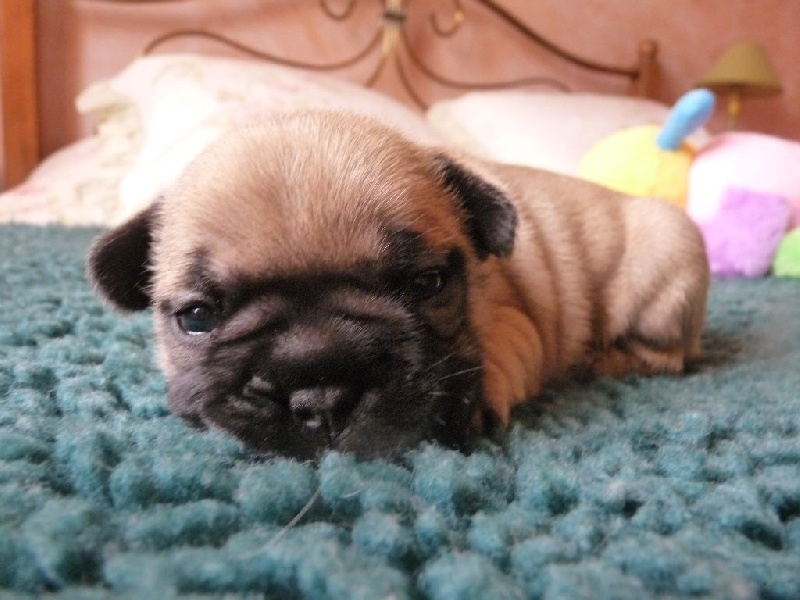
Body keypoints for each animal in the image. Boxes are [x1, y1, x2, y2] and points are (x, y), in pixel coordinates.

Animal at [87, 111, 709, 460]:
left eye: (426, 283)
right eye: (197, 317)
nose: (321, 392)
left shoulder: (517, 323)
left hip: (667, 261)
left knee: (668, 354)